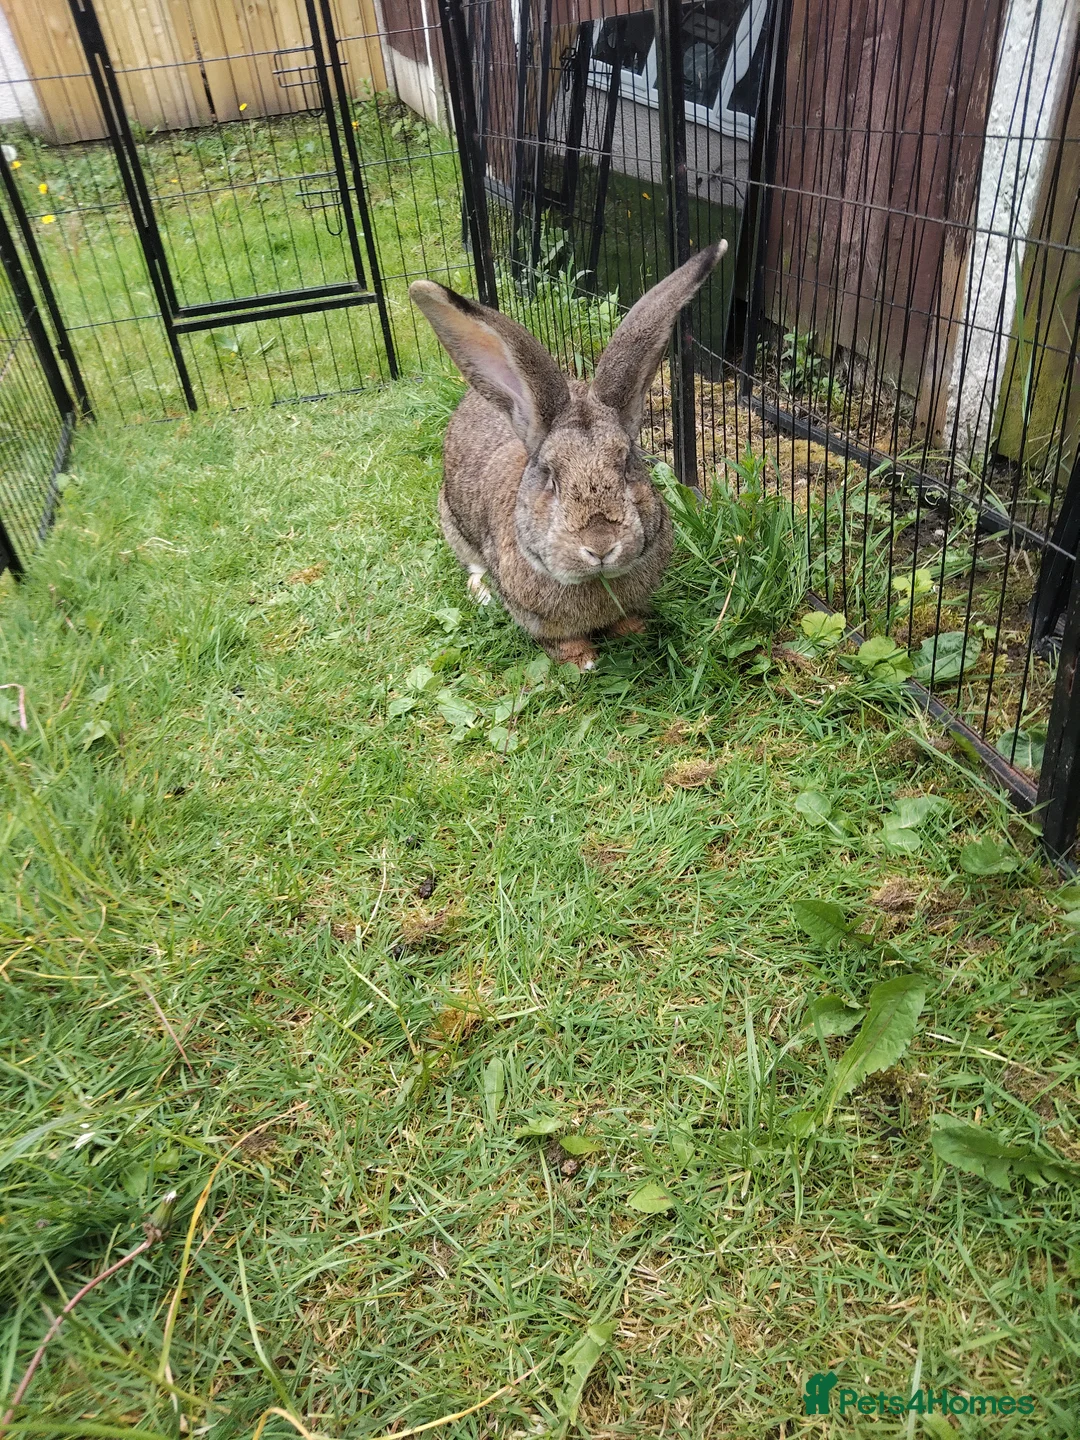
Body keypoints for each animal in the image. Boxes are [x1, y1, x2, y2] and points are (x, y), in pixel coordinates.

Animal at [409, 240, 726, 670]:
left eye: (627, 465)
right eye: (551, 477)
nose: (601, 546)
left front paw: (632, 630)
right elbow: (561, 642)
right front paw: (583, 661)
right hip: (452, 521)